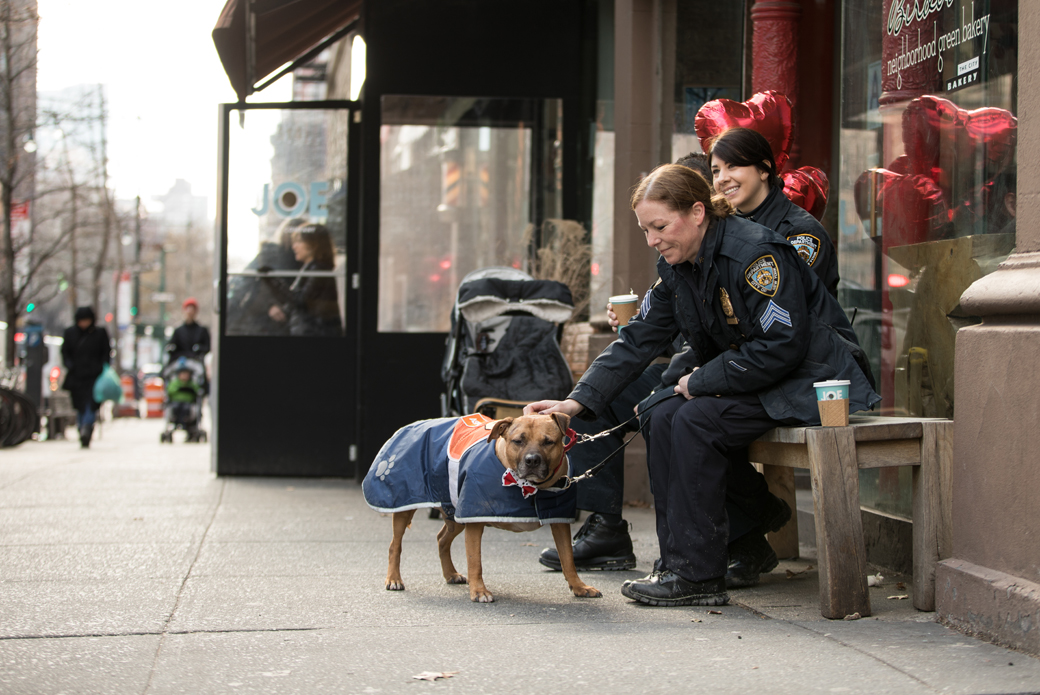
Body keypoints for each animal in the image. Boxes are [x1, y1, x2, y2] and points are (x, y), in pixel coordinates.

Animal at [382, 412, 603, 603]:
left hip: (456, 513)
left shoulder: (559, 520)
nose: (532, 460)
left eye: (548, 442)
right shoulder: (474, 521)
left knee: (442, 539)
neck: (529, 486)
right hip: (406, 506)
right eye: (518, 441)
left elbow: (568, 559)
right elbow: (475, 561)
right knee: (395, 545)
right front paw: (479, 591)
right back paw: (394, 579)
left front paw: (579, 586)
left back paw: (450, 573)